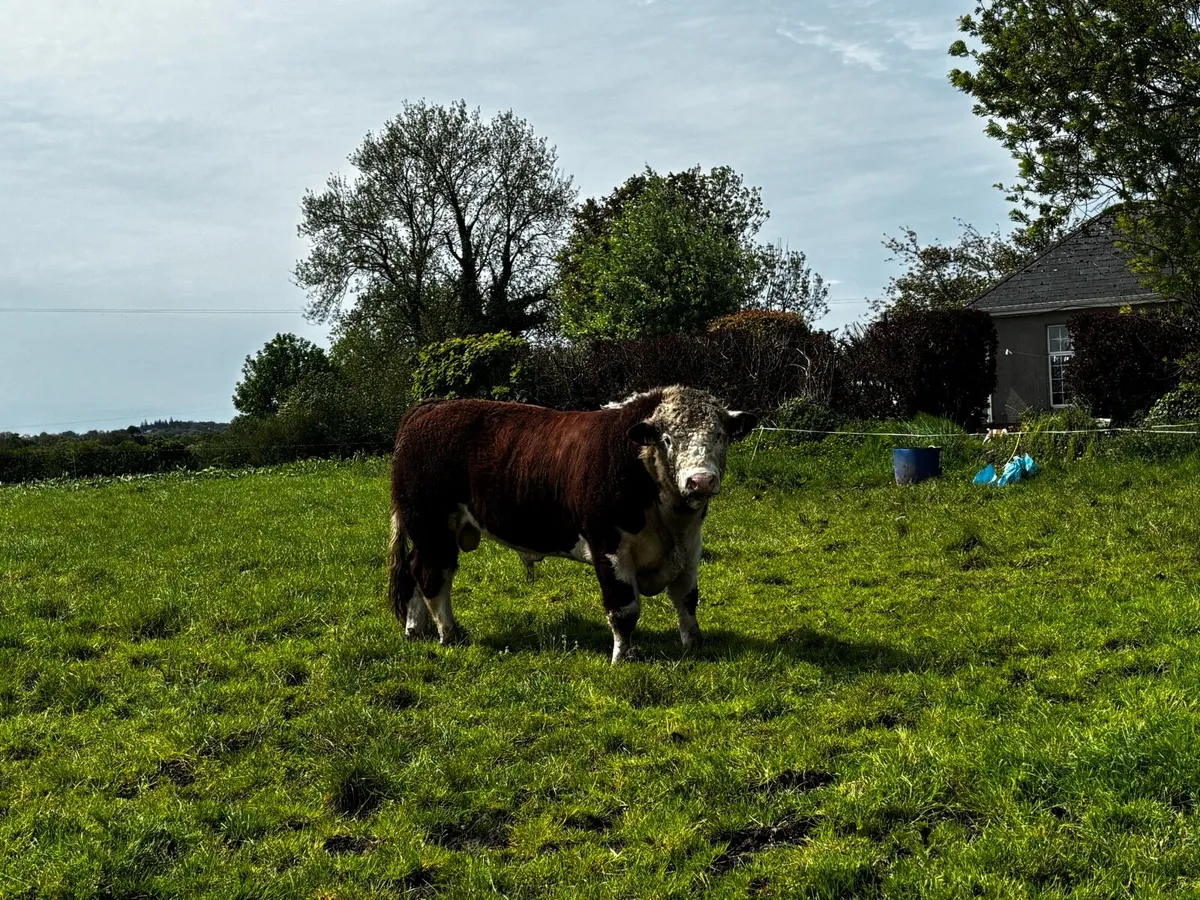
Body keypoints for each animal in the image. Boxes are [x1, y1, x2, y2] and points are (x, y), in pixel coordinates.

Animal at [386, 386, 758, 663]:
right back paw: (449, 634)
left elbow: (686, 599)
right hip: (431, 525)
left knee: (415, 572)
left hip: (426, 532)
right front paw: (624, 657)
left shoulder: (690, 545)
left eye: (720, 435)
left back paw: (415, 629)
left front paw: (694, 645)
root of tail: (430, 406)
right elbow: (624, 607)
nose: (700, 480)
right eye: (668, 439)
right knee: (433, 575)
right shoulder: (608, 545)